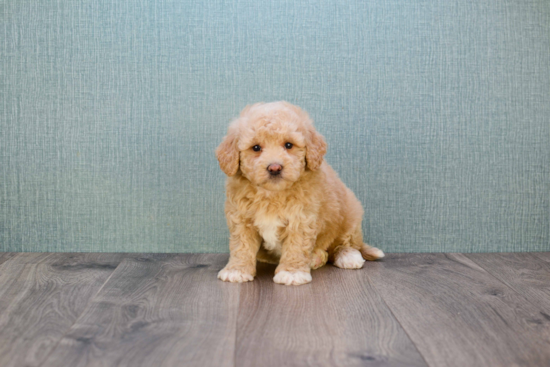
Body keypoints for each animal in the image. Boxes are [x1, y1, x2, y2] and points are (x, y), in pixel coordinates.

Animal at [216, 102, 384, 286]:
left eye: (289, 145)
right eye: (256, 148)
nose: (274, 168)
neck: (272, 195)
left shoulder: (302, 218)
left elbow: (296, 245)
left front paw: (292, 272)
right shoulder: (241, 218)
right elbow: (241, 245)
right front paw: (237, 270)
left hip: (350, 212)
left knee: (344, 243)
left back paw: (346, 256)